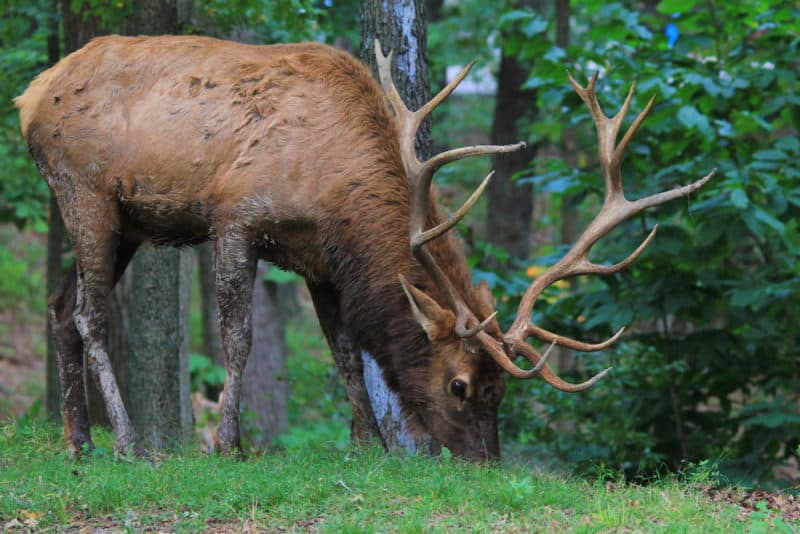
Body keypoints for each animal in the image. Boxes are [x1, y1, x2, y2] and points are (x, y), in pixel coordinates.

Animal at [15, 34, 712, 460]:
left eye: (501, 392)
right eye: (460, 385)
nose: (486, 462)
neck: (334, 190)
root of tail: (29, 95)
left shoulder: (321, 259)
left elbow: (347, 350)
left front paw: (369, 443)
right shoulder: (237, 216)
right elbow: (239, 337)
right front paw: (228, 444)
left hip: (126, 224)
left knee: (59, 306)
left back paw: (79, 442)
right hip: (87, 192)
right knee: (91, 315)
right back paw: (127, 443)